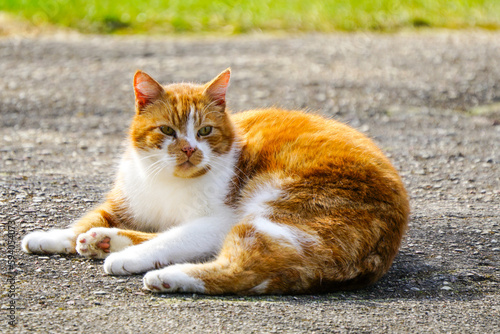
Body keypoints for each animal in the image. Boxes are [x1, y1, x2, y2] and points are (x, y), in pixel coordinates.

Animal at [21, 69, 408, 294]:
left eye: (205, 131)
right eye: (167, 131)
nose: (190, 149)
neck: (167, 180)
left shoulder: (218, 219)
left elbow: (172, 238)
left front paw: (131, 257)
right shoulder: (123, 201)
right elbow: (86, 220)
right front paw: (55, 237)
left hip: (272, 218)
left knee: (244, 271)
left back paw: (167, 275)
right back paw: (105, 240)